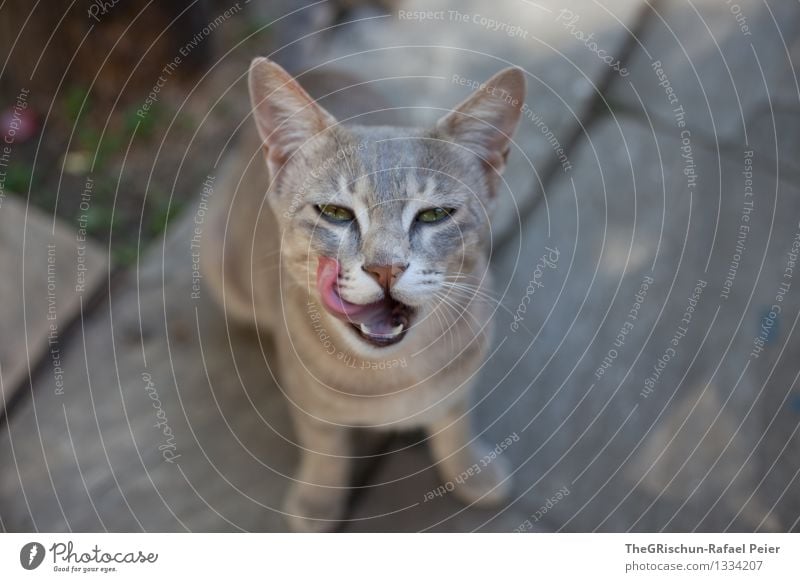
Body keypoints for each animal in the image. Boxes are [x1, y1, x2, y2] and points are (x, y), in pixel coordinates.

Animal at [202, 59, 524, 532]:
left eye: (434, 215)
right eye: (335, 213)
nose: (385, 267)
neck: (390, 371)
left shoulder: (463, 375)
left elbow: (454, 420)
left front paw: (468, 469)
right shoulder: (306, 394)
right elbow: (325, 444)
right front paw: (319, 499)